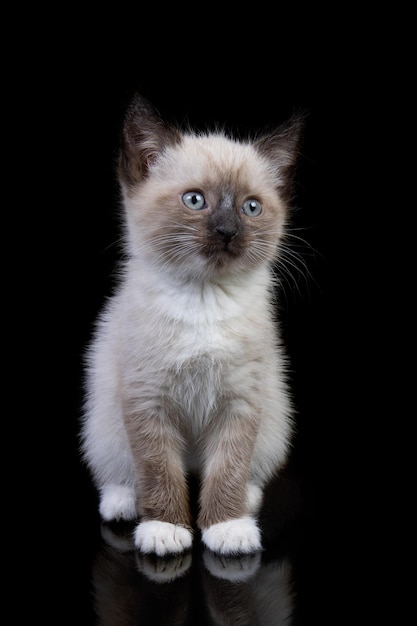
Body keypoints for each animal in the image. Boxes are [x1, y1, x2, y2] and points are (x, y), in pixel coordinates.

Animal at [79, 90, 304, 552]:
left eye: (250, 207)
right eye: (195, 200)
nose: (228, 231)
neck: (204, 300)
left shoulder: (242, 401)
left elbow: (229, 467)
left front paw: (227, 526)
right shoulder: (147, 400)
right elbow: (158, 470)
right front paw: (165, 528)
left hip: (273, 421)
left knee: (231, 471)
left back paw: (247, 500)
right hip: (104, 422)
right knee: (124, 471)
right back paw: (123, 502)